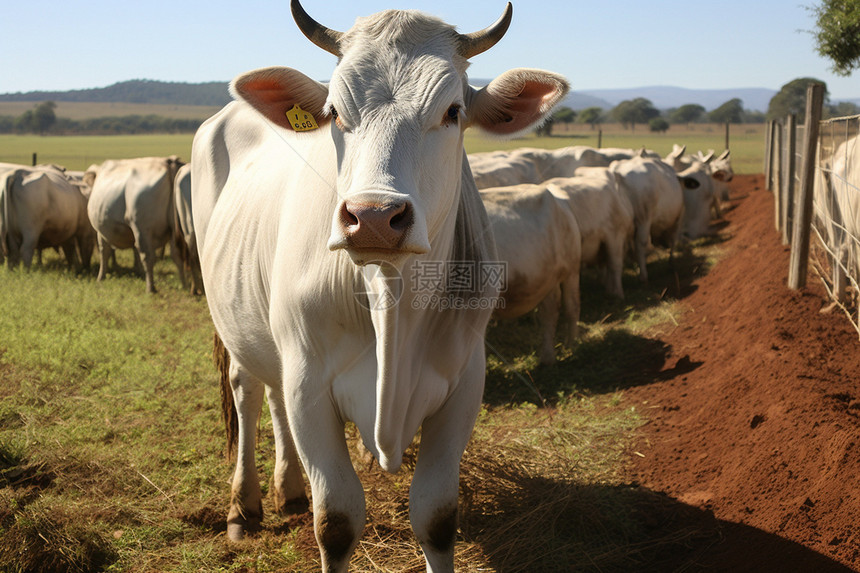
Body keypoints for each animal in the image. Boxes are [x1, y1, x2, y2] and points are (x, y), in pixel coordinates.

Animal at [86, 155, 186, 292]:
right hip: (174, 228)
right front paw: (138, 271)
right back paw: (185, 286)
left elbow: (104, 252)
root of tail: (168, 161)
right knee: (177, 254)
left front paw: (100, 277)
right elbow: (134, 251)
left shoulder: (101, 231)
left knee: (148, 256)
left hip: (142, 228)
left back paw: (150, 288)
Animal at [191, 2, 568, 568]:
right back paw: (244, 508)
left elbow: (436, 516)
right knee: (249, 390)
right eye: (333, 112)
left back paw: (290, 489)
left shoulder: (464, 383)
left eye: (453, 111)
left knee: (271, 394)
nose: (372, 217)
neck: (392, 307)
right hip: (233, 317)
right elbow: (337, 521)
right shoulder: (309, 385)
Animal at [480, 185, 580, 364]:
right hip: (548, 277)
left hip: (572, 269)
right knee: (550, 310)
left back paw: (571, 345)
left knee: (571, 306)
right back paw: (548, 357)